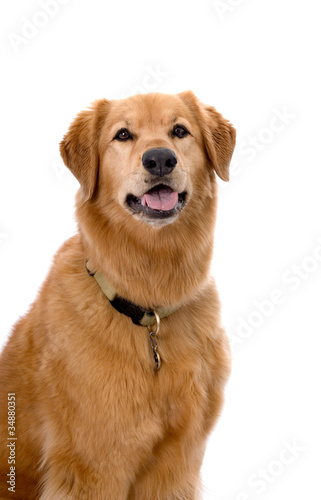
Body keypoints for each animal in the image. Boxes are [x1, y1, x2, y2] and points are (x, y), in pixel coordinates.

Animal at [0, 92, 235, 498]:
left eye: (179, 131)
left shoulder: (177, 464)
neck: (149, 305)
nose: (160, 159)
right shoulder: (94, 467)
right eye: (123, 134)